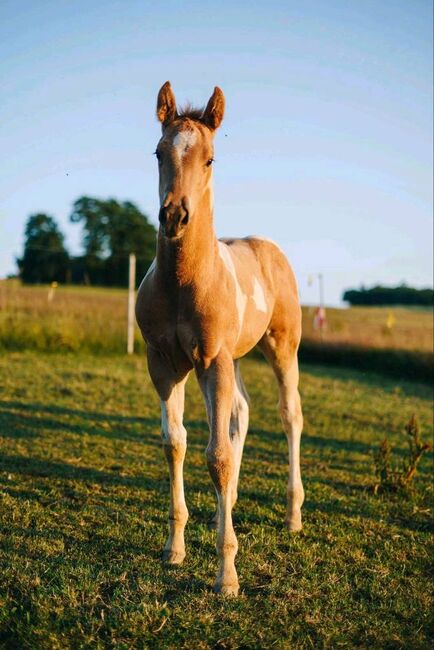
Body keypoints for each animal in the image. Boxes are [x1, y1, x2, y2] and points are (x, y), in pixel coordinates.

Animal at [136, 81, 306, 592]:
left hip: (280, 347)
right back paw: (225, 507)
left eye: (210, 158)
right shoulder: (165, 364)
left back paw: (293, 515)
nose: (174, 216)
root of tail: (268, 247)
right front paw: (175, 549)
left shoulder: (212, 361)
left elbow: (217, 457)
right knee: (241, 414)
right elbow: (176, 443)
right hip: (236, 356)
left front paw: (226, 576)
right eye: (158, 153)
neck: (184, 282)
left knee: (290, 416)